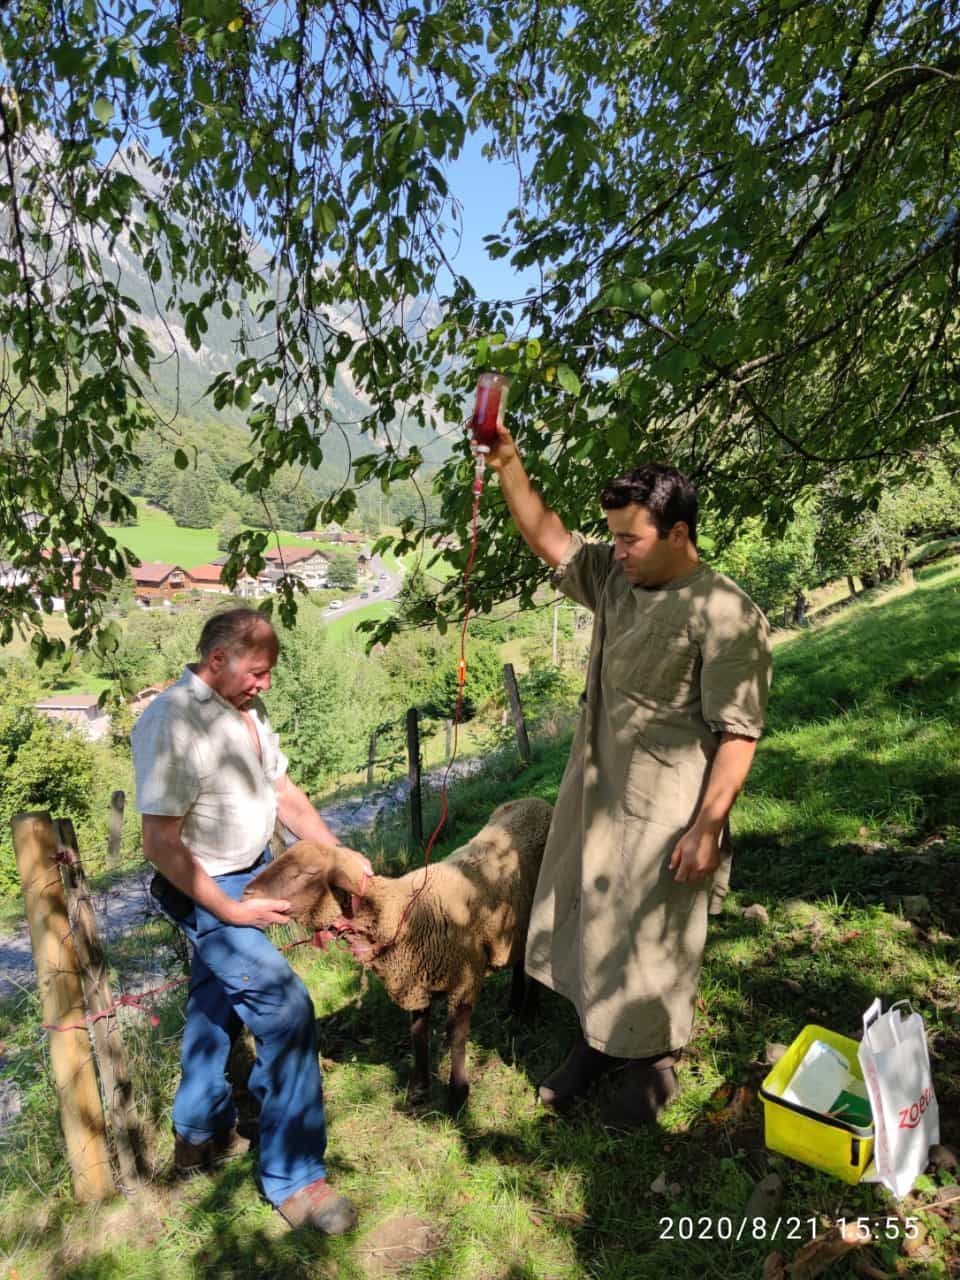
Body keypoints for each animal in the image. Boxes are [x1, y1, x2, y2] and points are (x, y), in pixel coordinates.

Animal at [241, 798, 555, 1111]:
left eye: (304, 873)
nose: (246, 894)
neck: (399, 912)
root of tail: (536, 802)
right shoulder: (414, 981)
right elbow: (418, 1035)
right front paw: (419, 1091)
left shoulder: (464, 981)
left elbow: (456, 1037)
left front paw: (457, 1096)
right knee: (519, 963)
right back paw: (515, 1006)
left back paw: (529, 1011)